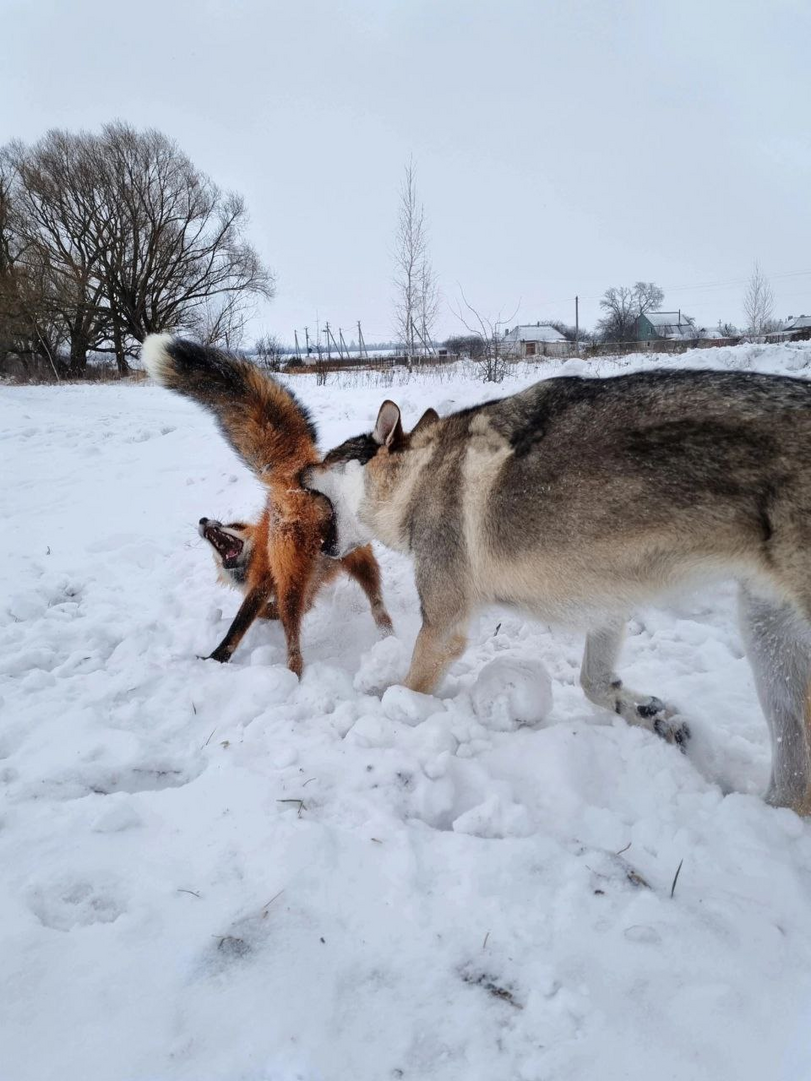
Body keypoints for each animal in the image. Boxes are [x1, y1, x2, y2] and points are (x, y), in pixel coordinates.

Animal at [143, 335, 393, 674]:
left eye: (232, 525)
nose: (204, 521)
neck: (253, 550)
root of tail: (296, 480)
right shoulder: (307, 592)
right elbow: (270, 612)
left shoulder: (262, 583)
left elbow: (239, 624)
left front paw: (215, 658)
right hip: (357, 559)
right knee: (378, 607)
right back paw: (389, 638)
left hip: (290, 583)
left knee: (293, 641)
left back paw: (294, 674)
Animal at [302, 369, 811, 812]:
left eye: (327, 459)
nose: (301, 470)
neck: (417, 477)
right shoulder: (605, 598)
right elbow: (594, 683)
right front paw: (646, 714)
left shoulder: (444, 626)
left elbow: (406, 690)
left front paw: (388, 713)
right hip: (767, 633)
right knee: (794, 776)